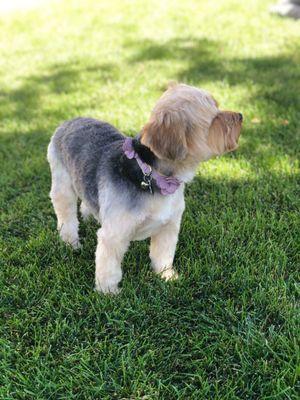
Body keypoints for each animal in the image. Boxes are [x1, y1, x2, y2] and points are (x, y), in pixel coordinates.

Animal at [47, 83, 244, 294]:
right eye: (215, 118)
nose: (241, 115)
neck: (152, 175)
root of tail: (70, 120)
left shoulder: (169, 226)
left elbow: (163, 255)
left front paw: (167, 277)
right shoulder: (114, 235)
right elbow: (109, 267)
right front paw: (108, 293)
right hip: (62, 181)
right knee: (66, 215)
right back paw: (71, 242)